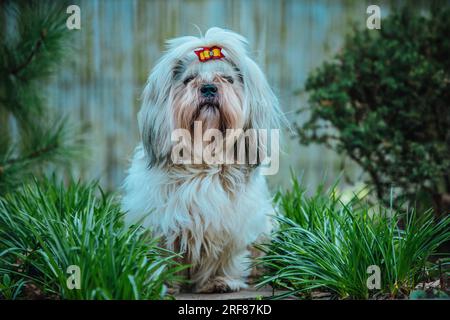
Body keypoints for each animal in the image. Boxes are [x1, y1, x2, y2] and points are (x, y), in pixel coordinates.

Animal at [122, 27, 284, 292]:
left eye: (227, 79)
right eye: (189, 80)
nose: (208, 87)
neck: (205, 158)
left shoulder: (231, 224)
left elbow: (224, 256)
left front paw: (220, 280)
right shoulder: (162, 223)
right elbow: (164, 256)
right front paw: (164, 282)